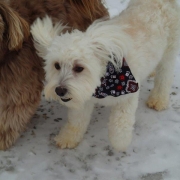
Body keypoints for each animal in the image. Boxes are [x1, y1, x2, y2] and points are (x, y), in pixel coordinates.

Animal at [30, 0, 180, 152]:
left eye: (79, 68)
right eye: (56, 65)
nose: (59, 90)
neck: (102, 83)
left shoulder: (129, 94)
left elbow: (120, 123)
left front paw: (120, 142)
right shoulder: (83, 98)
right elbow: (76, 121)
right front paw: (68, 137)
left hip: (169, 51)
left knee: (164, 77)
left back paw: (158, 99)